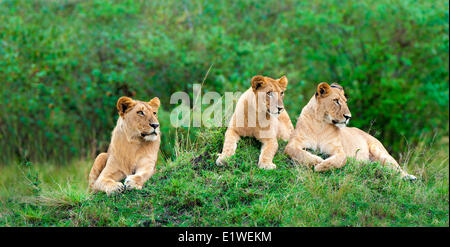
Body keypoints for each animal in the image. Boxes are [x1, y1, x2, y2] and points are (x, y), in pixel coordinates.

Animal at [286, 82, 416, 180]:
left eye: (345, 101)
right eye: (336, 101)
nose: (348, 116)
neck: (320, 124)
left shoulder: (339, 150)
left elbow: (339, 160)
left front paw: (320, 166)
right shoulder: (292, 144)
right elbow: (298, 153)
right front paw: (316, 160)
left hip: (379, 151)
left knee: (397, 167)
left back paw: (409, 177)